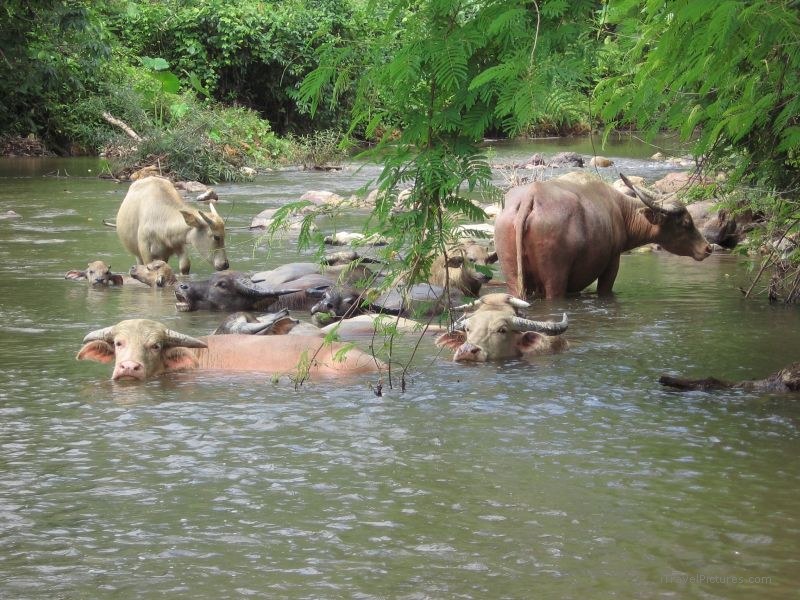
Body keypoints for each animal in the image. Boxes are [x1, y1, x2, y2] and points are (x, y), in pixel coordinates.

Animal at [494, 174, 712, 299]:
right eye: (686, 223)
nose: (708, 248)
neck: (621, 212)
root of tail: (530, 197)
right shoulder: (612, 262)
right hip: (554, 278)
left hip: (512, 276)